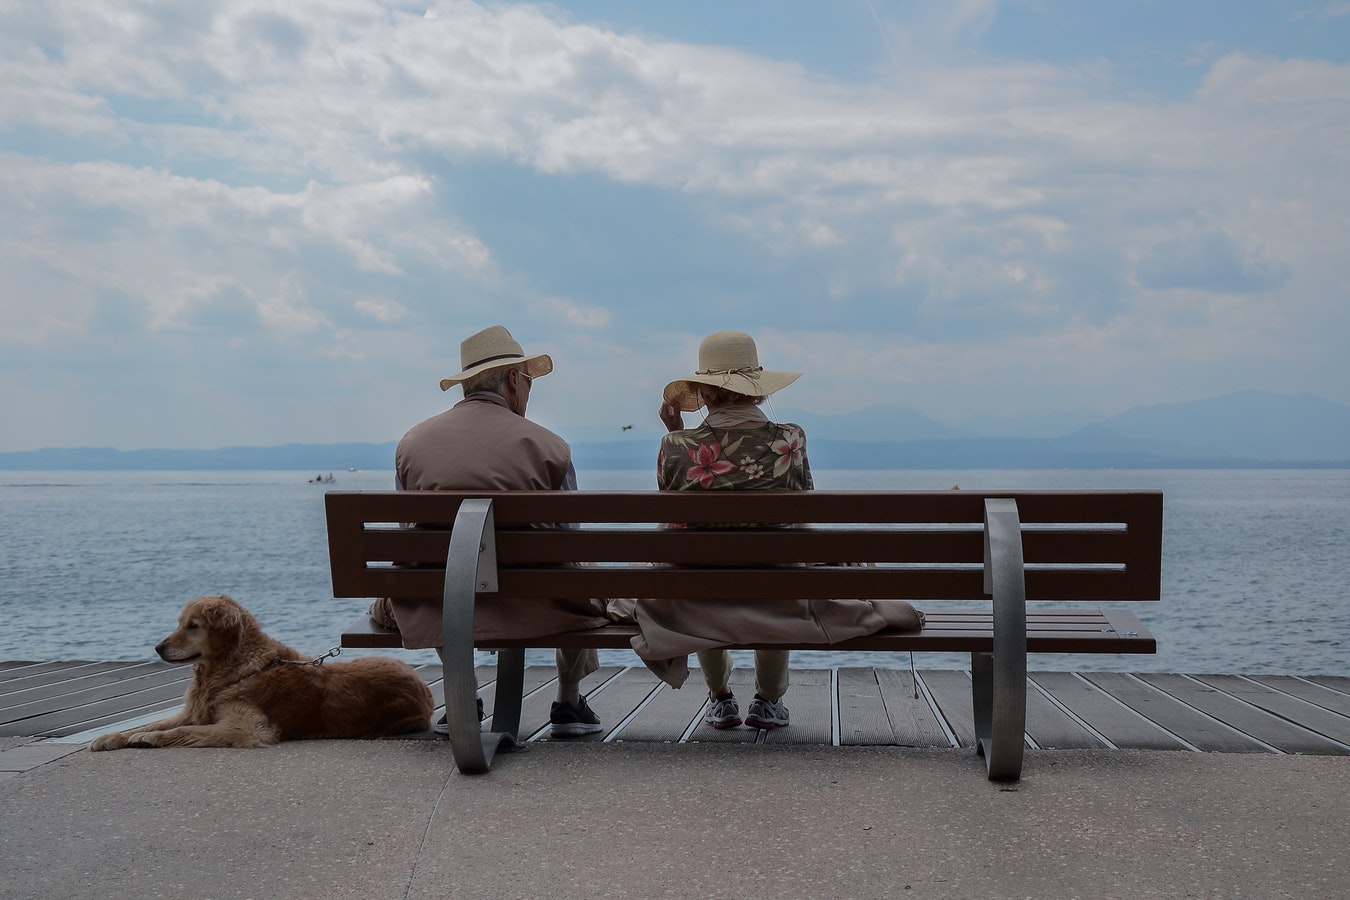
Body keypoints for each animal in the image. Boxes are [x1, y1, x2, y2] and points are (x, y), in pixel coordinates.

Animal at [92, 593, 429, 750]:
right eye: (179, 623)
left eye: (193, 625)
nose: (158, 648)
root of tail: (423, 687)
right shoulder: (196, 711)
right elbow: (152, 724)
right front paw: (111, 737)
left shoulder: (247, 728)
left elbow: (181, 731)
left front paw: (150, 738)